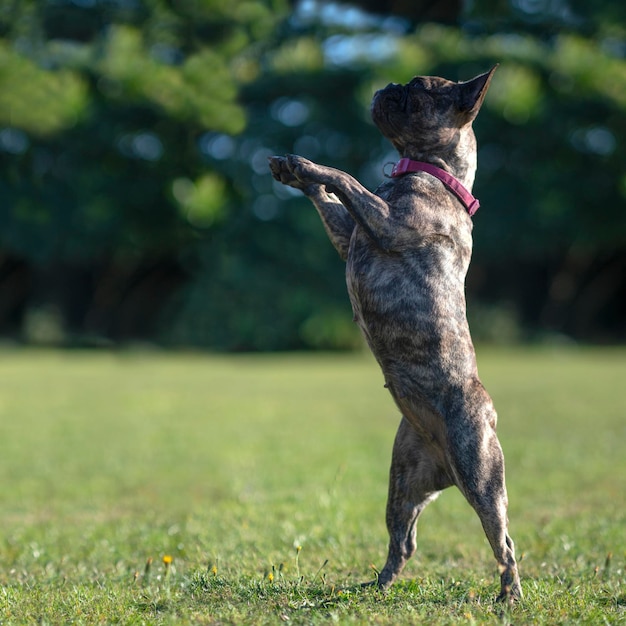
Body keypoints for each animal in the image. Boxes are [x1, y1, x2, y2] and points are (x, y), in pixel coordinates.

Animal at [266, 66, 520, 604]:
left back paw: (509, 596)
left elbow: (345, 178)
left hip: (482, 476)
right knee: (403, 541)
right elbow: (333, 202)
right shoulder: (352, 236)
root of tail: (444, 466)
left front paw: (307, 165)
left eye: (420, 90)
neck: (431, 174)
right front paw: (293, 172)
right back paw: (375, 587)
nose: (388, 86)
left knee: (504, 541)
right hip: (403, 480)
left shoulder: (384, 225)